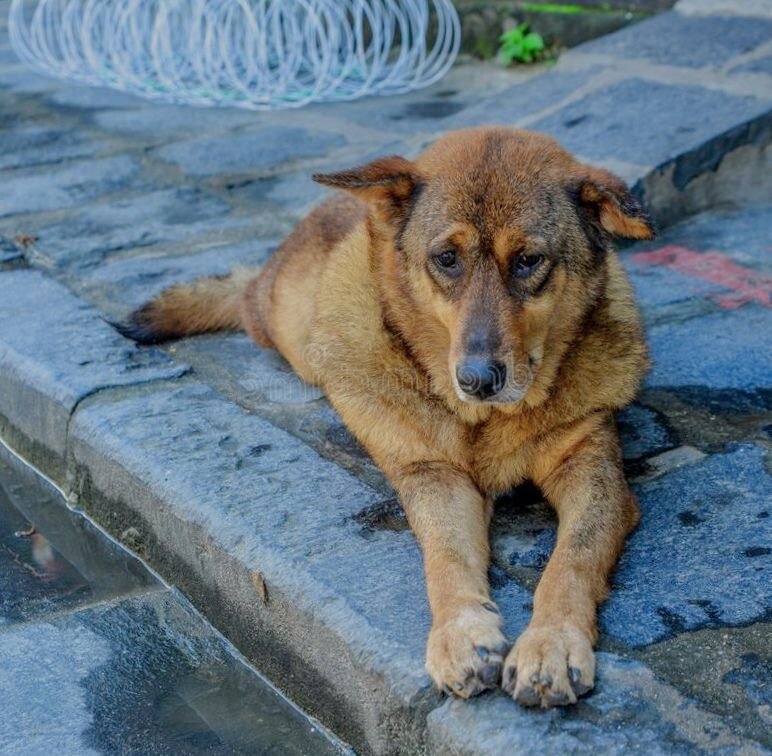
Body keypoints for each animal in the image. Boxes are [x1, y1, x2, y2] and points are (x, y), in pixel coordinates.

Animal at [120, 125, 652, 708]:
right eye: (447, 258)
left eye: (529, 260)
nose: (477, 380)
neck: (485, 422)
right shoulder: (433, 476)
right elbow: (445, 556)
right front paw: (461, 632)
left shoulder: (593, 472)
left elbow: (572, 559)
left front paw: (550, 642)